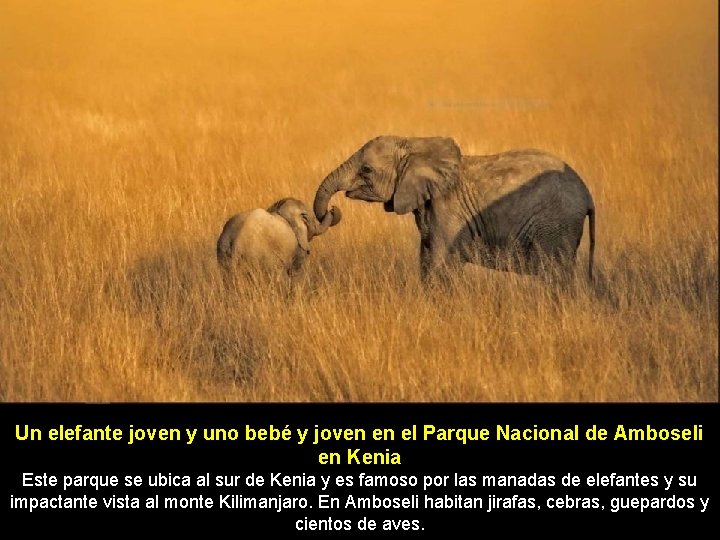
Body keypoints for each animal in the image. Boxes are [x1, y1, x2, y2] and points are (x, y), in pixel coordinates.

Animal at [316, 136, 596, 282]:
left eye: (366, 170)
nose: (332, 211)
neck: (413, 143)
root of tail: (587, 194)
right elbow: (426, 260)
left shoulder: (448, 209)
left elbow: (440, 263)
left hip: (556, 224)